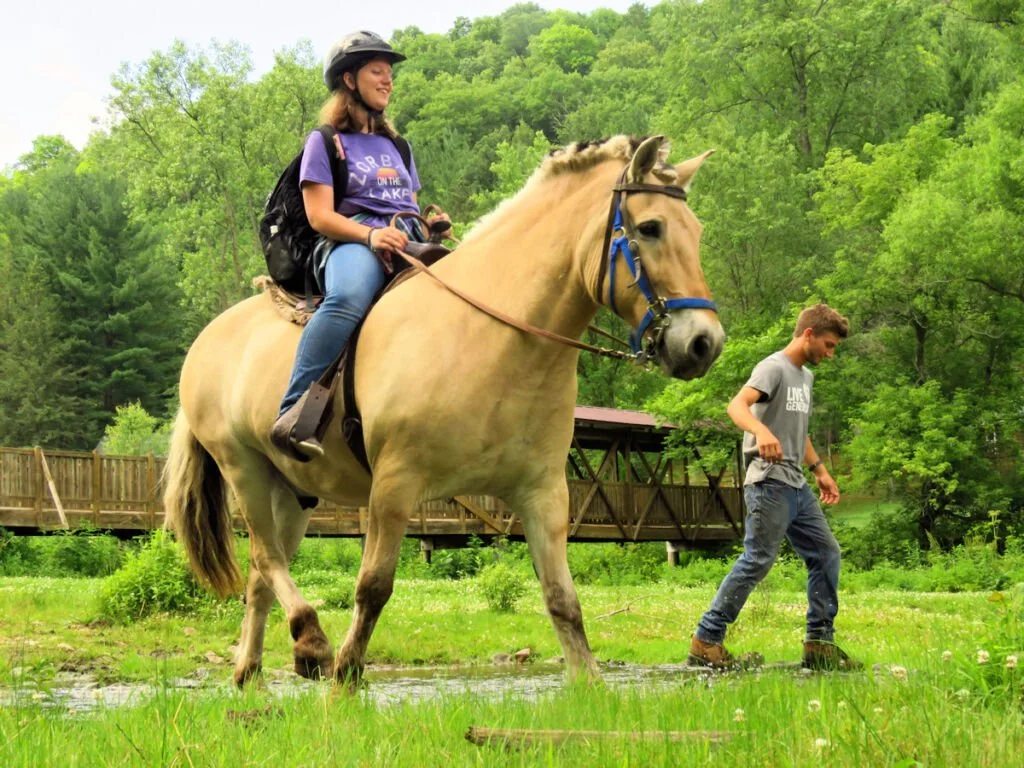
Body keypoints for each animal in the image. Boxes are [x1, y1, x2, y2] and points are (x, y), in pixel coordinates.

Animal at [164, 135, 725, 688]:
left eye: (696, 231)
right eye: (650, 228)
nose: (704, 344)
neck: (492, 337)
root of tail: (205, 342)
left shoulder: (543, 493)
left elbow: (563, 601)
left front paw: (590, 688)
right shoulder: (394, 486)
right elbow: (372, 588)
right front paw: (344, 681)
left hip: (293, 492)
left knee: (262, 575)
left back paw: (254, 672)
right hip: (244, 469)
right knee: (265, 556)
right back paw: (312, 642)